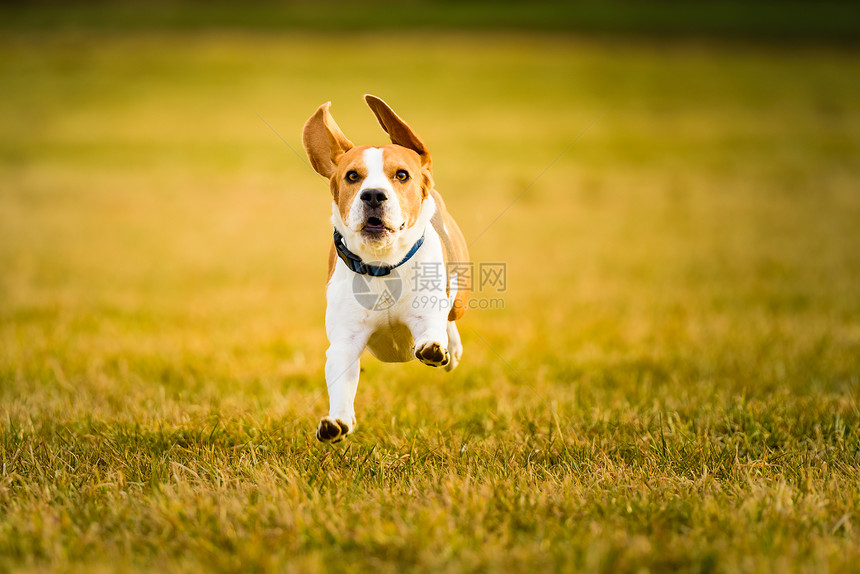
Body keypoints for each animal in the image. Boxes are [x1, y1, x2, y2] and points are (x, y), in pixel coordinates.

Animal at [304, 95, 470, 446]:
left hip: (460, 296)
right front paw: (338, 421)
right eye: (353, 176)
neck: (382, 267)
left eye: (402, 175)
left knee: (451, 317)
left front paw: (436, 348)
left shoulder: (426, 312)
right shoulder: (345, 340)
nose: (373, 195)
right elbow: (341, 380)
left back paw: (452, 348)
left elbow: (432, 330)